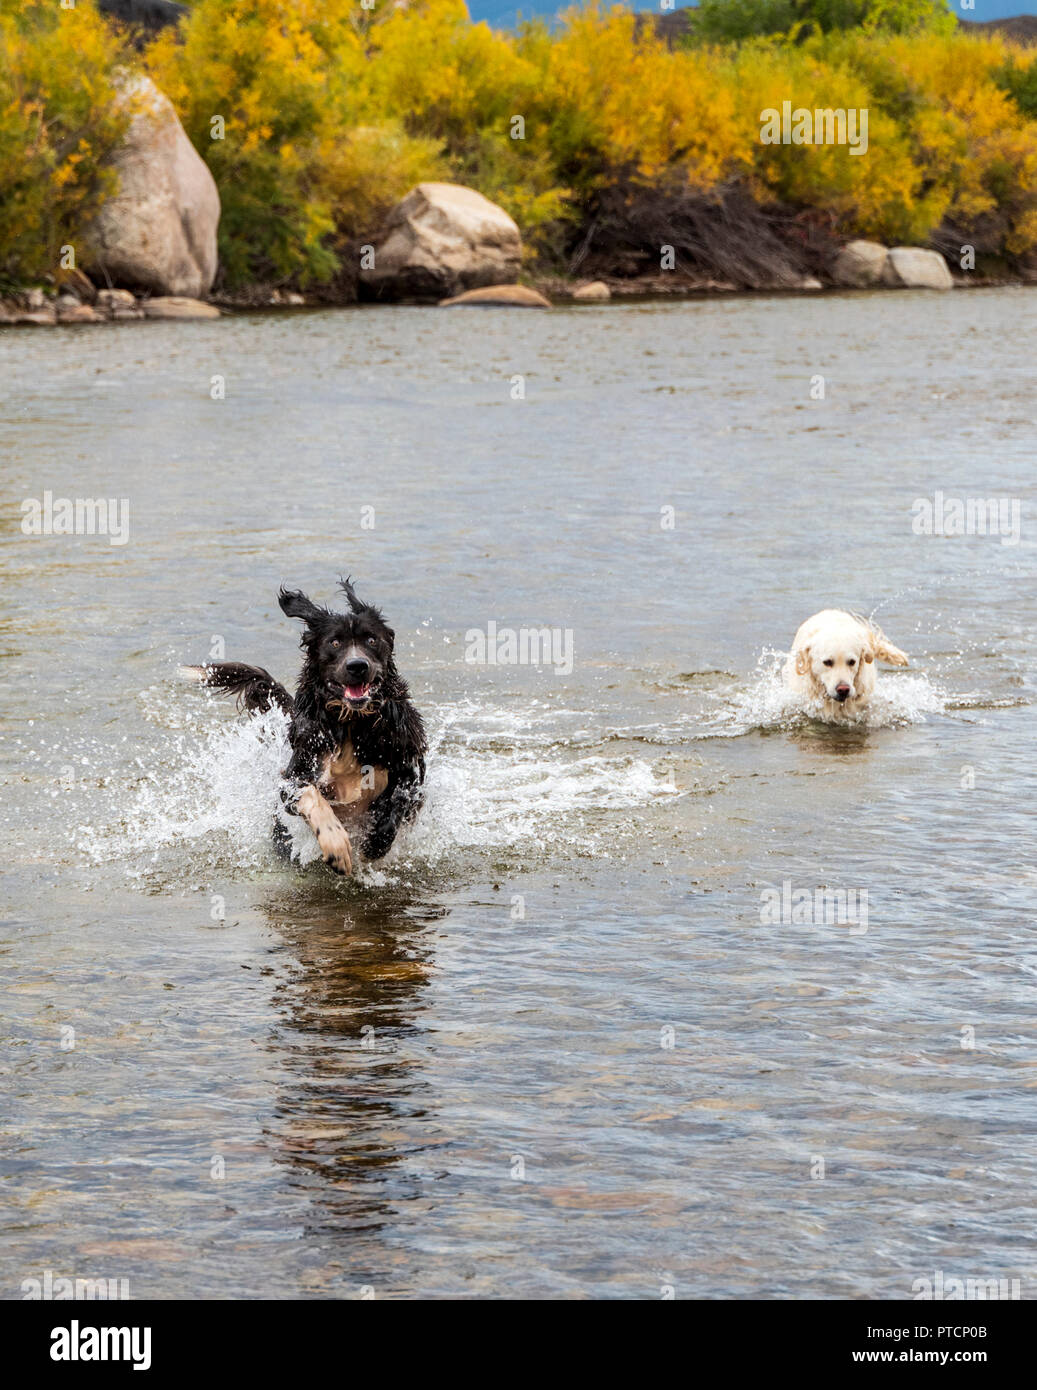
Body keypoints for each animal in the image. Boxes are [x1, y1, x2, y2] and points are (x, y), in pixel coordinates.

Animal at [184, 581, 425, 872]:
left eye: (371, 640)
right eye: (334, 642)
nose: (357, 665)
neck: (351, 722)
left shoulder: (409, 764)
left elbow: (398, 800)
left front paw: (376, 843)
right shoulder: (293, 778)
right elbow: (312, 796)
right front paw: (336, 846)